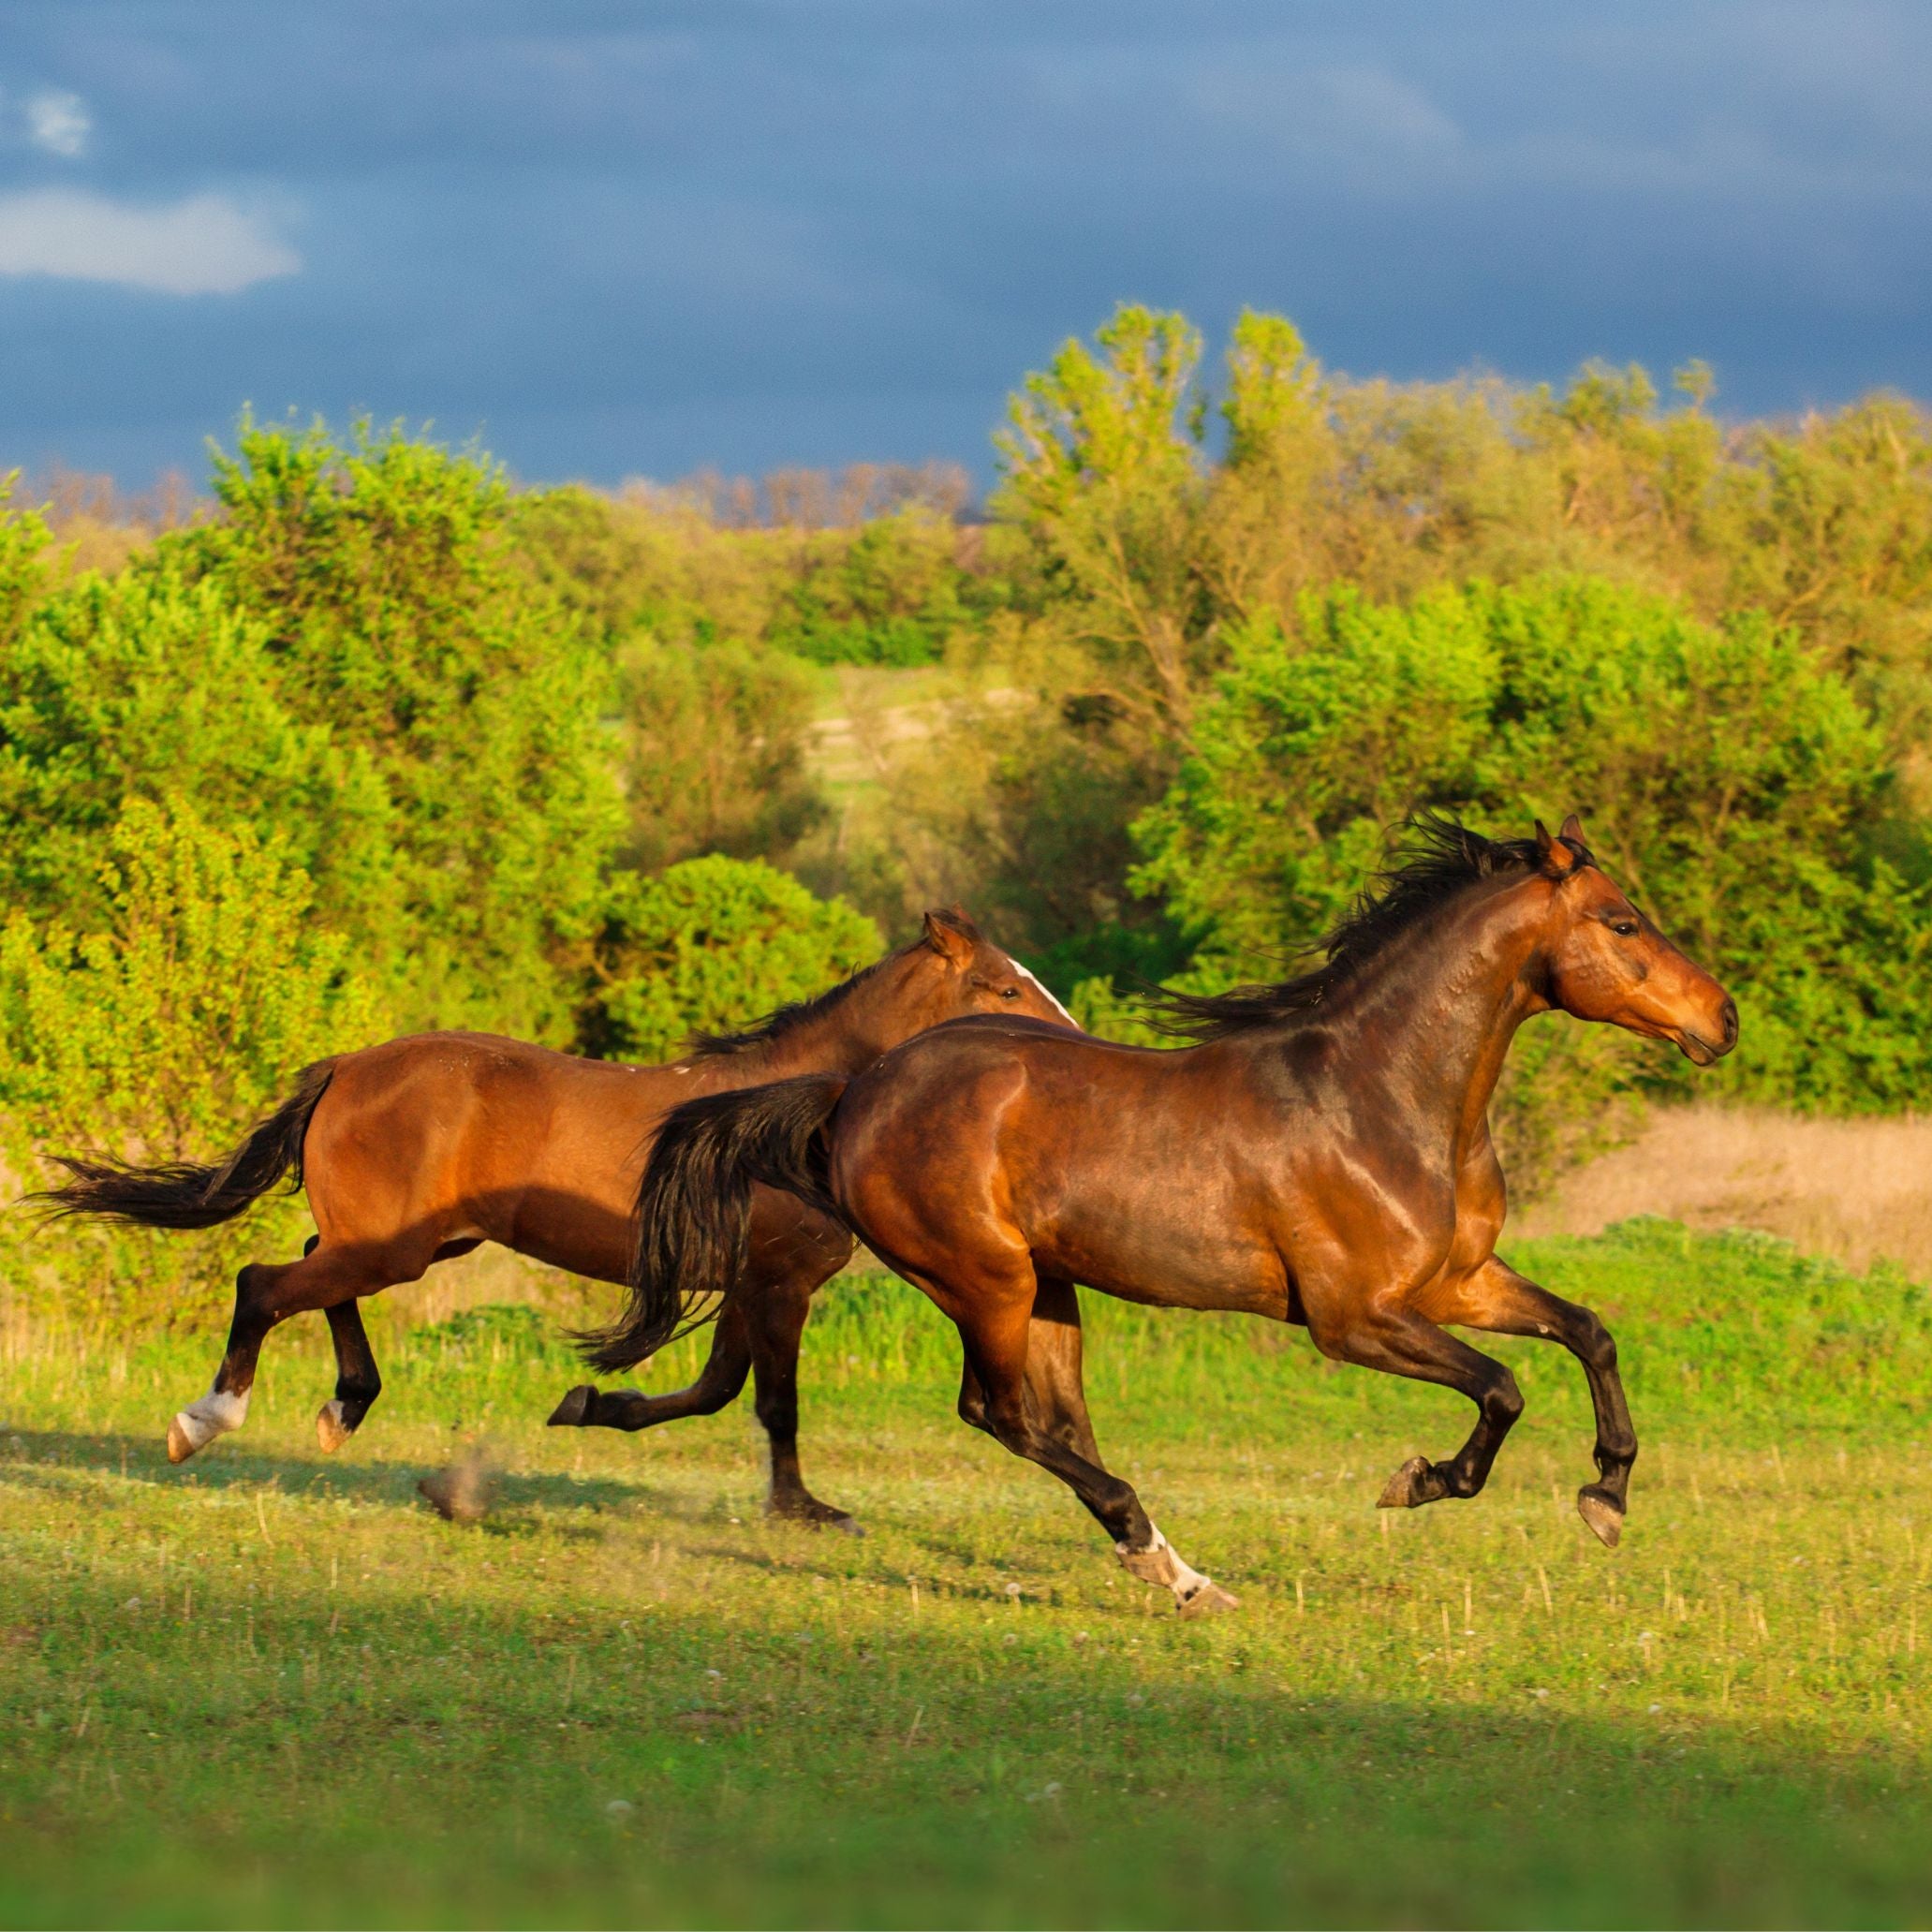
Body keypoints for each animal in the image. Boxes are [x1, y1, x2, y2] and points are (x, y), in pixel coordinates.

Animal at [34, 907, 1079, 1528]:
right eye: (1002, 985)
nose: (1071, 1046)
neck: (788, 1110)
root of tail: (348, 1065)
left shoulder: (744, 1284)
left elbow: (711, 1391)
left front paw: (587, 1405)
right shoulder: (780, 1282)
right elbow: (770, 1402)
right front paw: (805, 1510)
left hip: (404, 1243)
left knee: (310, 1273)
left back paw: (345, 1407)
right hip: (395, 1246)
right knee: (264, 1283)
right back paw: (205, 1420)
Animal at [592, 815, 1738, 1613]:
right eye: (1622, 921)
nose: (1721, 1019)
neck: (1381, 1094)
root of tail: (853, 1092)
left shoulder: (1456, 1282)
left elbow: (1587, 1332)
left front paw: (1605, 1498)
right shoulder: (1352, 1319)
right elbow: (1500, 1388)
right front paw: (1416, 1481)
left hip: (1048, 1288)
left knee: (1053, 1421)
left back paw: (1177, 1571)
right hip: (984, 1279)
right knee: (1002, 1415)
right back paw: (1160, 1557)